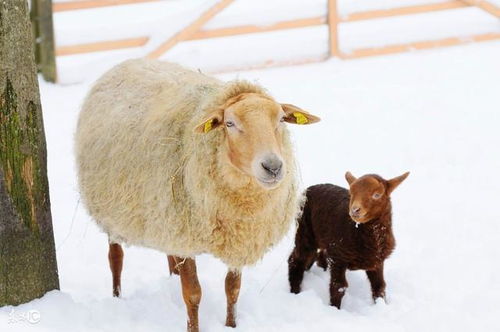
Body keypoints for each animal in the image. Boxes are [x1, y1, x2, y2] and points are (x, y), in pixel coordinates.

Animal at [288, 171, 408, 308]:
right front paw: (335, 309)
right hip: (305, 231)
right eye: (351, 193)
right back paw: (295, 292)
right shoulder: (338, 257)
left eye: (377, 195)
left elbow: (379, 286)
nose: (355, 210)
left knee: (315, 256)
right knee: (296, 260)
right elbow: (338, 286)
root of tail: (309, 189)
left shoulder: (377, 261)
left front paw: (381, 305)